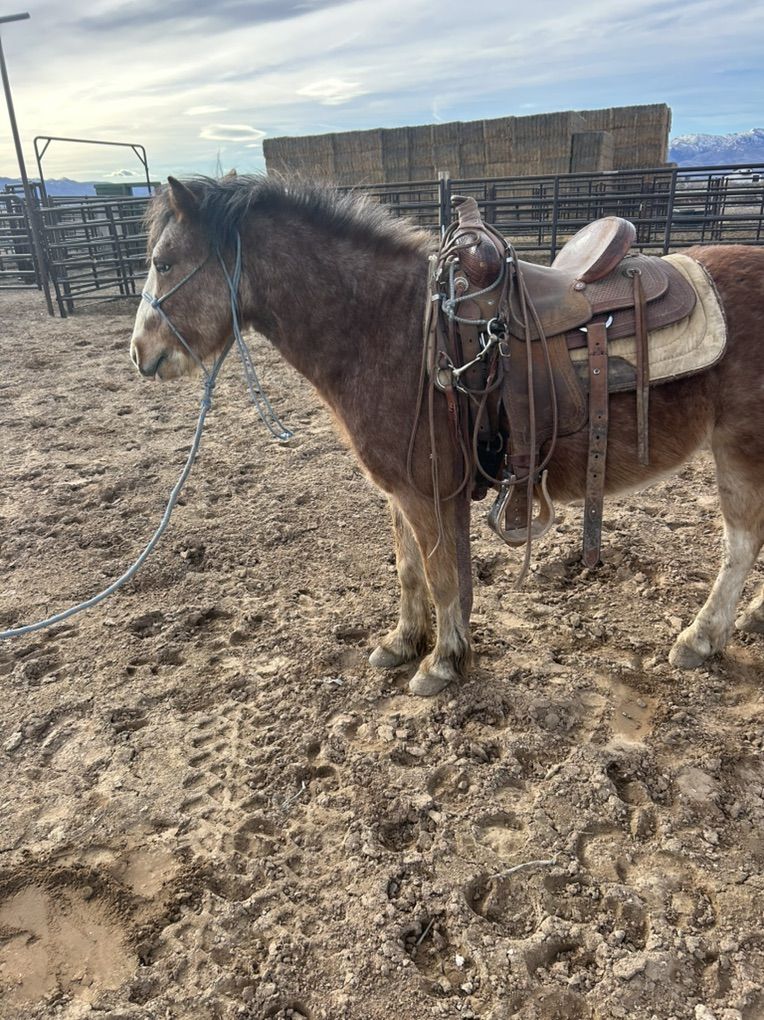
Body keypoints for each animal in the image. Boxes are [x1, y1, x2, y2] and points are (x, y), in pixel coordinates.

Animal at [130, 175, 764, 696]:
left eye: (164, 261)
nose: (140, 353)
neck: (389, 327)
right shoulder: (403, 491)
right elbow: (411, 570)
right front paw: (403, 644)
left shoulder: (427, 490)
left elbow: (440, 576)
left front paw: (442, 663)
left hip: (741, 451)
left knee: (741, 545)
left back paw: (700, 638)